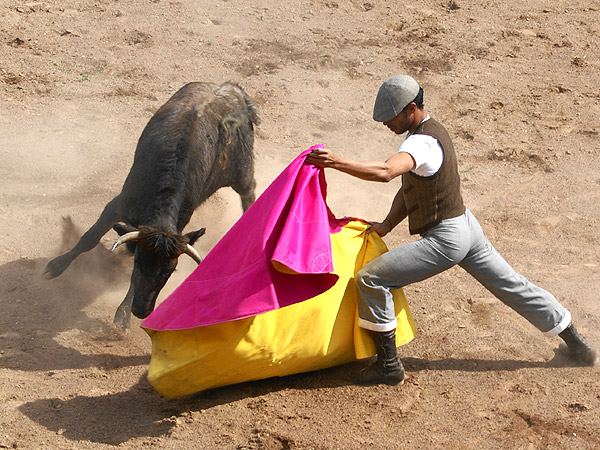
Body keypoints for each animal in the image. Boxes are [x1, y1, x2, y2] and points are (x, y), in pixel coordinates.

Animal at [42, 82, 259, 329]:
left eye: (171, 270)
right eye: (140, 263)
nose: (142, 310)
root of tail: (232, 90)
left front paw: (123, 313)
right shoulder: (117, 206)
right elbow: (90, 238)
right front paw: (55, 267)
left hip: (241, 171)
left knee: (249, 192)